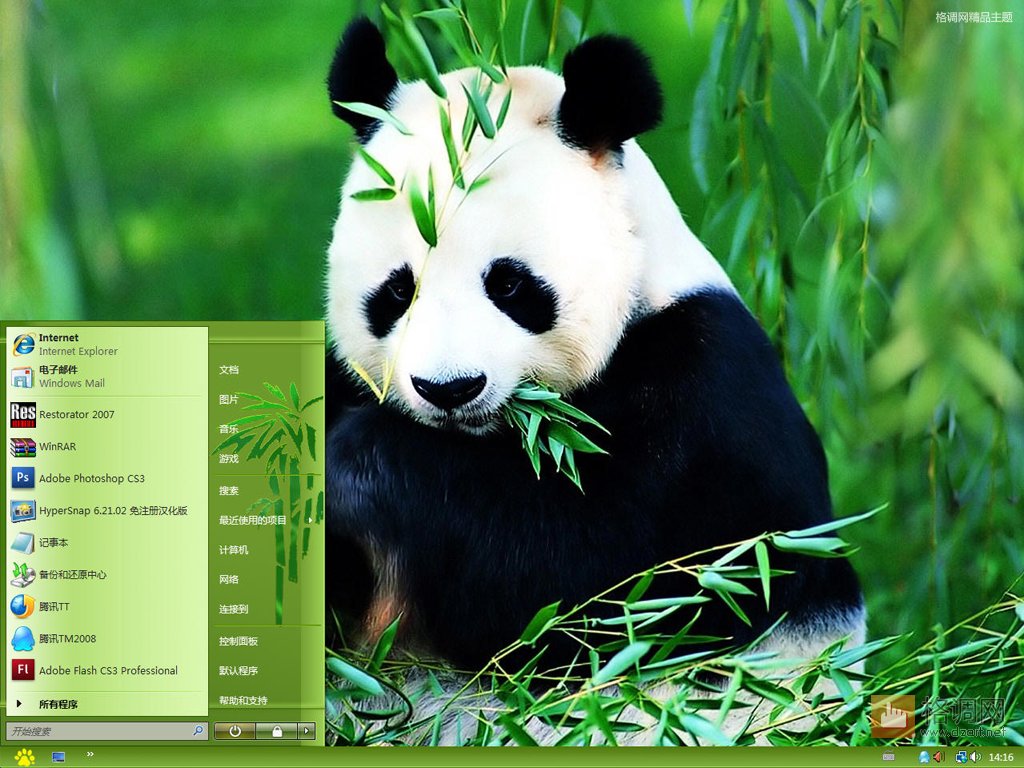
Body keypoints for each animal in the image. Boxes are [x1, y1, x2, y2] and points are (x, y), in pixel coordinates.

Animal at [324, 17, 865, 741]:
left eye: (509, 284)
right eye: (397, 291)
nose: (450, 389)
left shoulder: (708, 397)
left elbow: (594, 590)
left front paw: (361, 460)